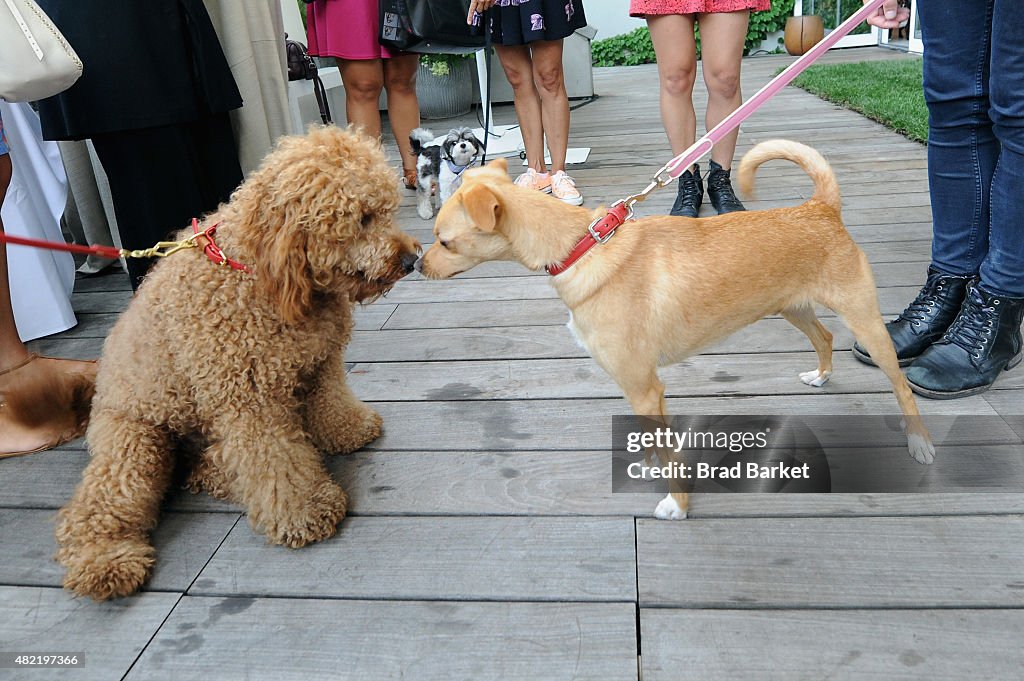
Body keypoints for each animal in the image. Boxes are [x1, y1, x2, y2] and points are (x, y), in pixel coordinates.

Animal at [57, 124, 419, 598]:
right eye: (361, 219)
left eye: (387, 211)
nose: (412, 258)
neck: (259, 274)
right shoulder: (248, 399)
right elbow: (275, 460)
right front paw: (306, 510)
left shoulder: (321, 364)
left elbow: (331, 403)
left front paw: (349, 430)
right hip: (135, 442)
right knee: (103, 499)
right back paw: (105, 561)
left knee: (203, 466)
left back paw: (218, 474)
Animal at [415, 140, 937, 518]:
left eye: (446, 241)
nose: (416, 264)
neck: (583, 246)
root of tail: (821, 207)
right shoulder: (645, 392)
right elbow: (652, 442)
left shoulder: (643, 386)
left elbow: (668, 454)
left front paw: (677, 504)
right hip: (793, 308)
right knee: (825, 339)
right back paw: (823, 376)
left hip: (865, 323)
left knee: (898, 382)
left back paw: (920, 443)